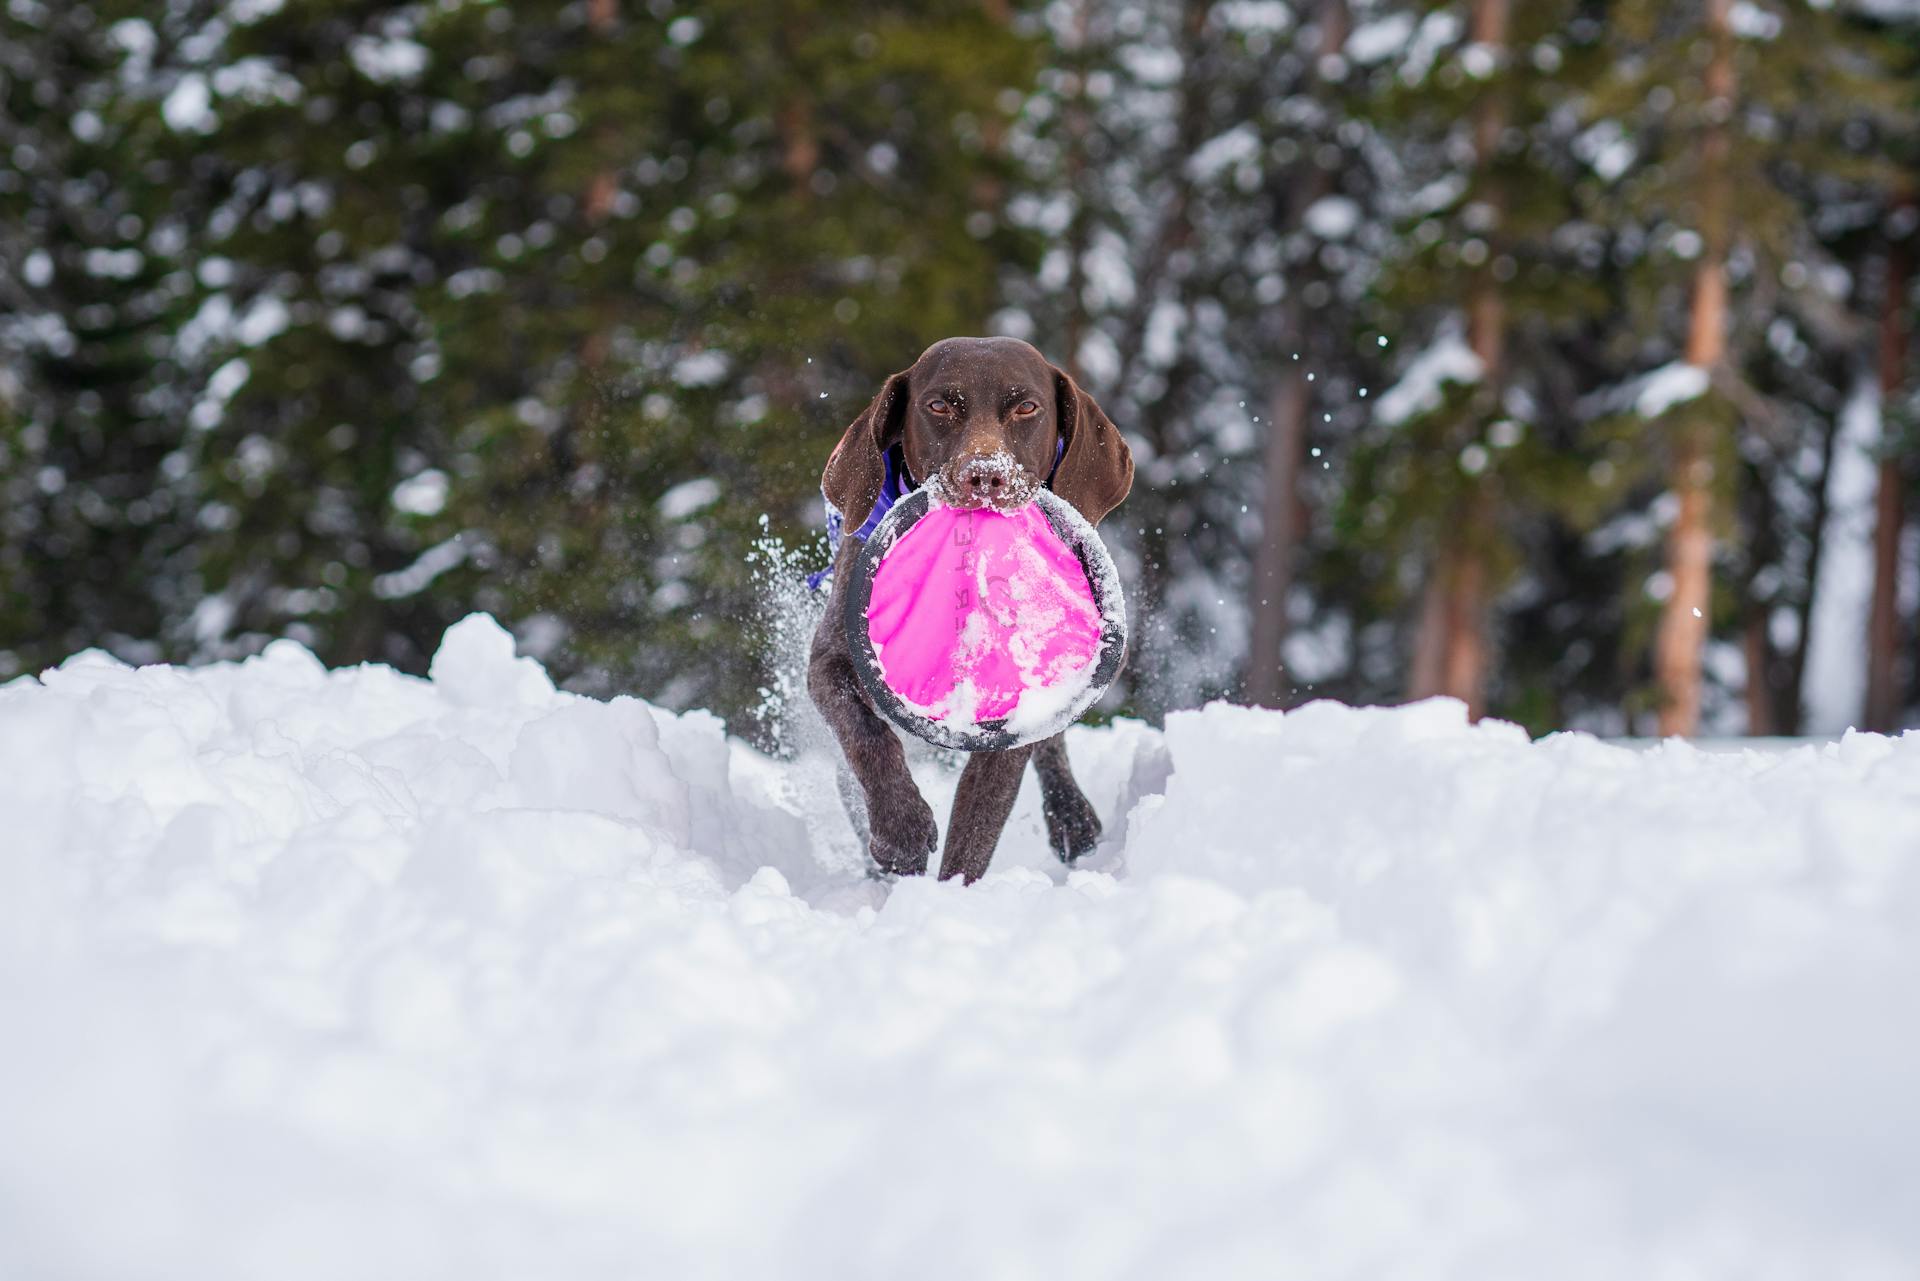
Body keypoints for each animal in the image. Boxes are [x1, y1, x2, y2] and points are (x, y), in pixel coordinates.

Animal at [802, 336, 1128, 887]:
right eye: (938, 406)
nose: (985, 476)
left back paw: (1072, 815)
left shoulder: (1011, 726)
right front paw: (901, 831)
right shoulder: (830, 660)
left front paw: (952, 892)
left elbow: (978, 824)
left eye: (1026, 408)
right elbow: (865, 734)